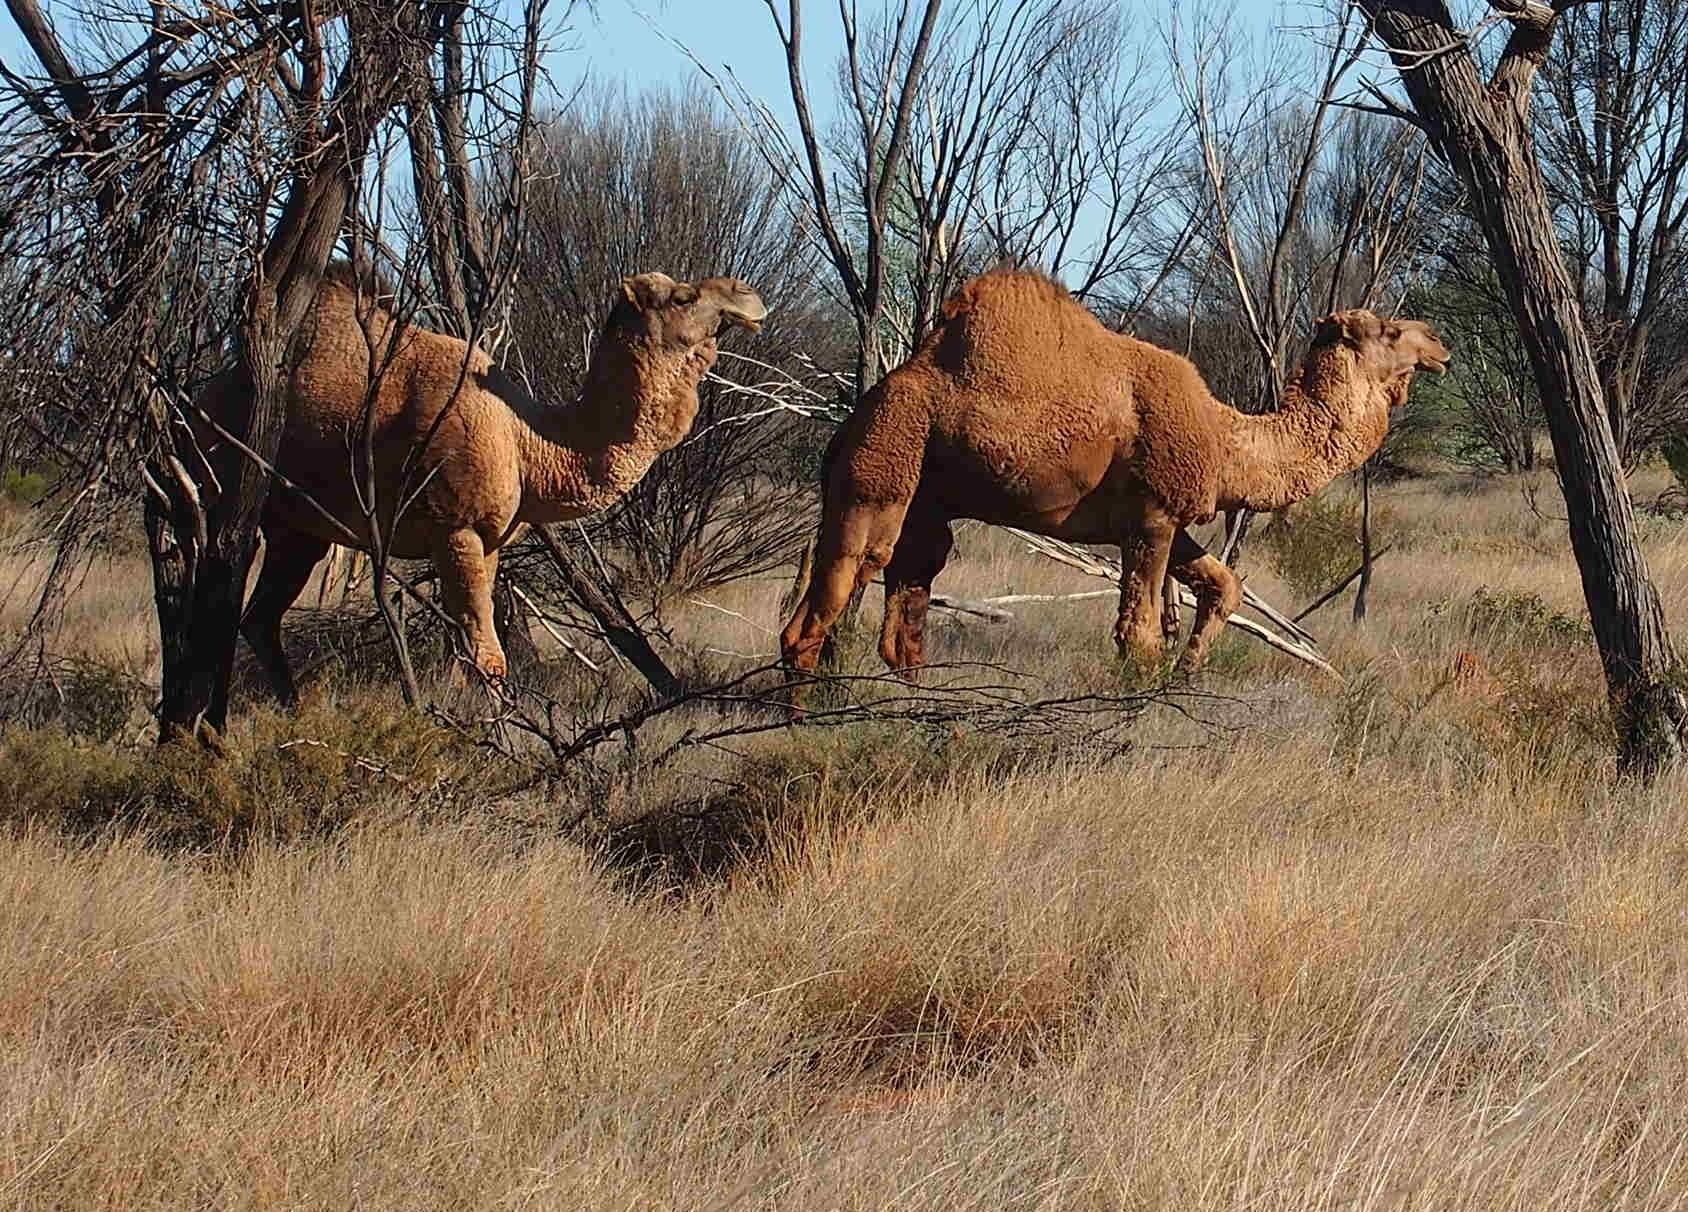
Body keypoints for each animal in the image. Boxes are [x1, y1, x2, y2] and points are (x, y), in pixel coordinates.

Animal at [204, 266, 766, 702]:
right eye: (683, 297)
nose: (747, 294)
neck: (528, 440)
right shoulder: (456, 528)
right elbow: (486, 654)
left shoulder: (490, 539)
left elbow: (465, 649)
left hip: (297, 532)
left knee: (260, 617)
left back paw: (290, 709)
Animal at [779, 266, 1451, 681]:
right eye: (1390, 330)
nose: (1439, 342)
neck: (1224, 439)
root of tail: (851, 420)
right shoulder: (1153, 516)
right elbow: (1139, 637)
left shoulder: (1168, 519)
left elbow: (1222, 586)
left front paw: (1188, 671)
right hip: (879, 473)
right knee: (816, 614)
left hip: (926, 505)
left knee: (903, 625)